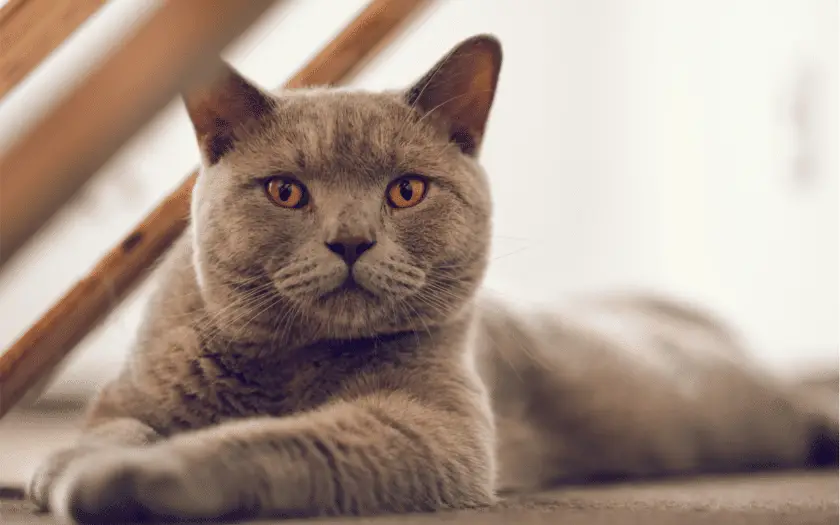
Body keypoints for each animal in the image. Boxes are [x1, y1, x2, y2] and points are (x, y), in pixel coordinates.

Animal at [27, 34, 840, 520]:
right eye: (286, 191)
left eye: (407, 190)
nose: (350, 240)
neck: (288, 365)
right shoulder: (126, 393)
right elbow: (113, 426)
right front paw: (63, 465)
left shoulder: (439, 429)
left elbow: (272, 440)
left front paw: (126, 479)